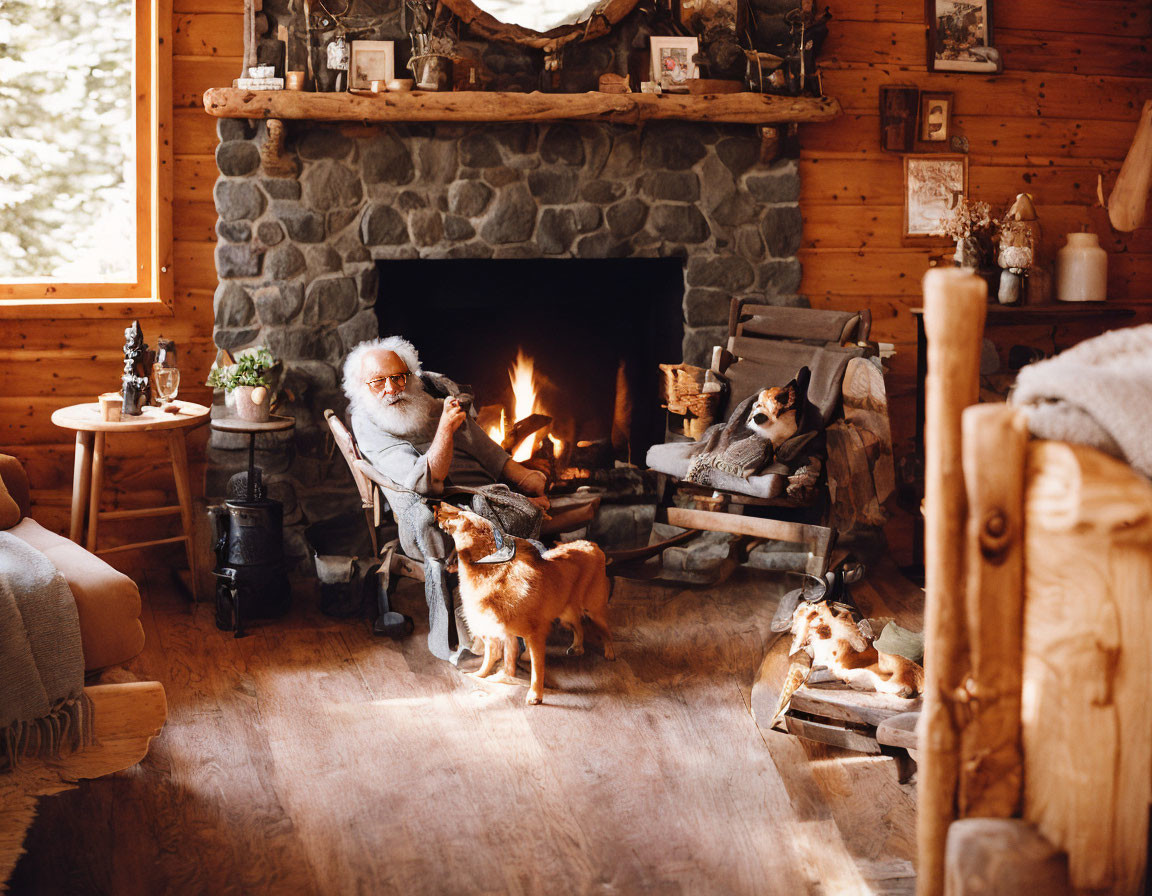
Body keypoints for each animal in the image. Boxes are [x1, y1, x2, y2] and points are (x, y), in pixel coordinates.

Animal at [433, 502, 612, 704]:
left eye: (459, 516)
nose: (438, 507)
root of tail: (591, 545)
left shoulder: (535, 636)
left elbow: (537, 669)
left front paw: (535, 695)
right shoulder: (505, 634)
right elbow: (497, 661)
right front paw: (483, 676)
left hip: (593, 610)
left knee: (606, 631)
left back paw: (609, 653)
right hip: (566, 611)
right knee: (578, 626)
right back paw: (577, 647)